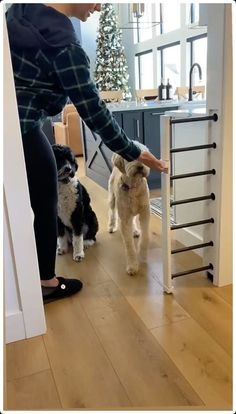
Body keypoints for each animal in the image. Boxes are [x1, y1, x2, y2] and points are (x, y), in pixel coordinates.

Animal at [108, 142, 150, 274]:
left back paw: (135, 230)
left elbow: (145, 235)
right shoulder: (125, 217)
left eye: (145, 155)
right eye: (130, 156)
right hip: (112, 198)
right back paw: (111, 226)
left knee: (134, 219)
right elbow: (129, 245)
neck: (133, 186)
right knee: (112, 212)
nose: (140, 167)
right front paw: (132, 265)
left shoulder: (145, 211)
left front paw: (143, 254)